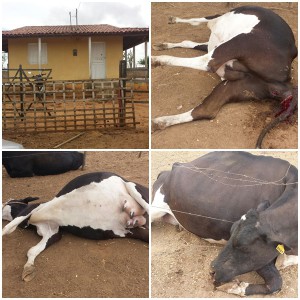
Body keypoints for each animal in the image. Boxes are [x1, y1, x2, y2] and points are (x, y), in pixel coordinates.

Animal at [1, 172, 148, 282]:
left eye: (10, 201)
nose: (3, 204)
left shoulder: (34, 208)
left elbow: (7, 228)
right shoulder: (53, 231)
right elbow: (32, 250)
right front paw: (28, 268)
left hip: (132, 187)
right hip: (132, 229)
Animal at [152, 5, 298, 148]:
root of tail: (288, 82)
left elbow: (198, 22)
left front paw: (173, 22)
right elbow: (190, 41)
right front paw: (163, 43)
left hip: (244, 41)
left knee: (208, 62)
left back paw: (157, 60)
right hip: (237, 86)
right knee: (206, 110)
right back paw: (159, 122)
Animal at [152, 151, 298, 296]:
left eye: (243, 246)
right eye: (231, 231)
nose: (212, 271)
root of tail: (176, 166)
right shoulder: (261, 257)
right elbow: (276, 283)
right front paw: (233, 286)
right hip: (155, 208)